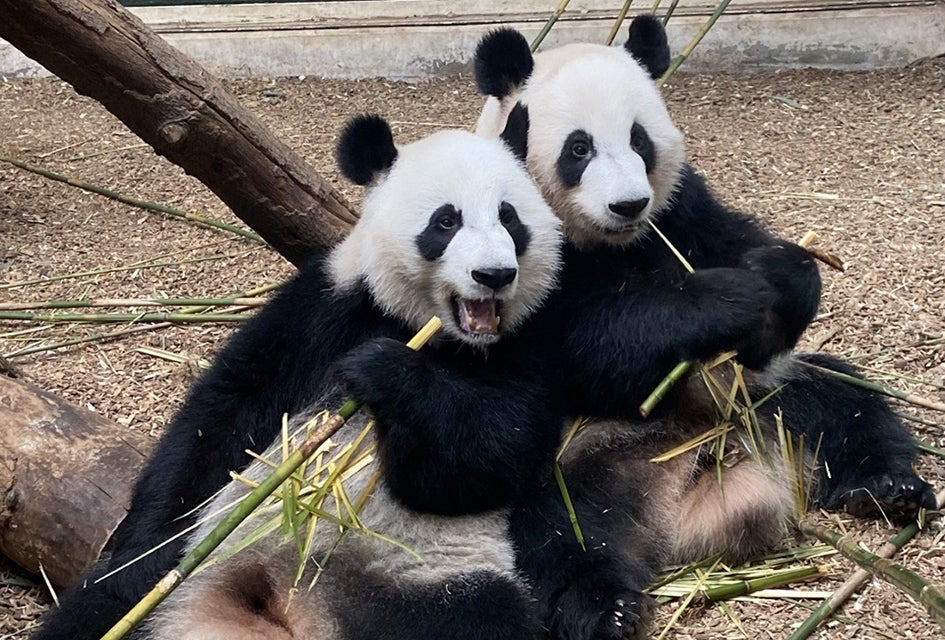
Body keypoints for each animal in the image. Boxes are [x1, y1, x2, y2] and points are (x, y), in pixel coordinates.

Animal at [34, 116, 564, 640]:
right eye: (446, 221)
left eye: (510, 218)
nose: (494, 275)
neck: (430, 331)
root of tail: (290, 607)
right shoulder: (320, 310)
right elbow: (222, 420)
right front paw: (141, 554)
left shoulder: (527, 343)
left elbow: (490, 452)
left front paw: (382, 371)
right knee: (92, 615)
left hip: (431, 577)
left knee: (477, 617)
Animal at [473, 15, 936, 640]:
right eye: (579, 147)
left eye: (640, 140)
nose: (628, 204)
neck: (610, 243)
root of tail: (683, 492)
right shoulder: (513, 245)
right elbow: (589, 345)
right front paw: (730, 300)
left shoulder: (679, 206)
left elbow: (732, 239)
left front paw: (779, 274)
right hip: (567, 456)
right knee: (549, 529)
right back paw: (605, 607)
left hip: (764, 398)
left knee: (845, 403)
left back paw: (888, 489)